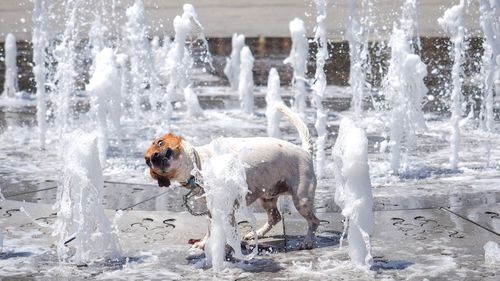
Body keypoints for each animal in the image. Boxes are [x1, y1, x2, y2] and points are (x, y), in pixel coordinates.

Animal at [145, 104, 320, 248]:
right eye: (147, 161)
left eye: (160, 142)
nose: (153, 157)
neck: (198, 166)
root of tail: (305, 152)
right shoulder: (214, 209)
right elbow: (211, 229)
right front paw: (205, 243)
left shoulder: (225, 208)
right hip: (267, 197)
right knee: (275, 217)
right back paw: (257, 234)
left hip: (301, 200)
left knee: (314, 221)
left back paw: (308, 242)